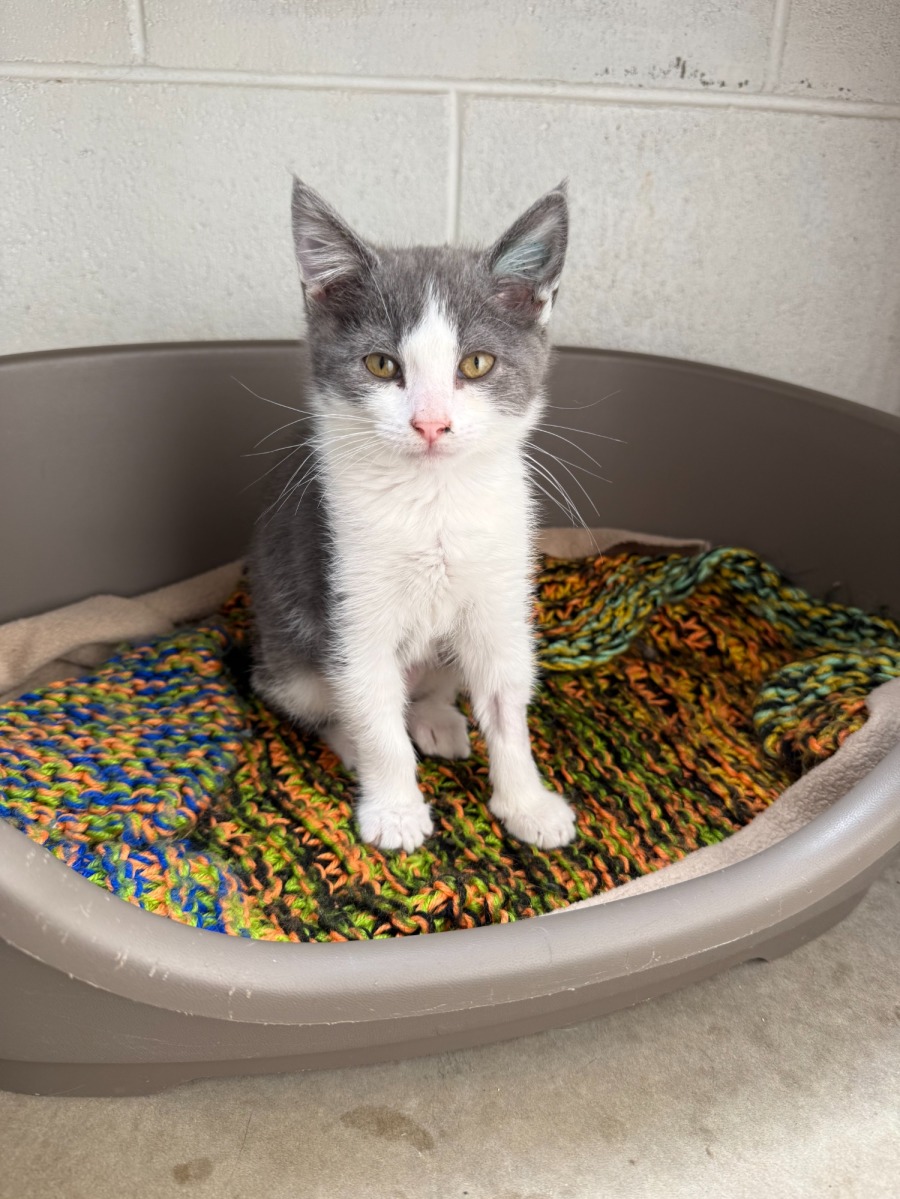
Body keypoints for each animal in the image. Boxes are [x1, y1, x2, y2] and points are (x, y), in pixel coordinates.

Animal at [248, 177, 577, 853]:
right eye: (382, 365)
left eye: (476, 364)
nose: (430, 423)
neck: (433, 502)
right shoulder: (348, 605)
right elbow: (373, 714)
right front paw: (394, 811)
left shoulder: (500, 599)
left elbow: (507, 700)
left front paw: (527, 803)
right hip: (287, 655)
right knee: (314, 702)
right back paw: (354, 744)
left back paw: (435, 717)